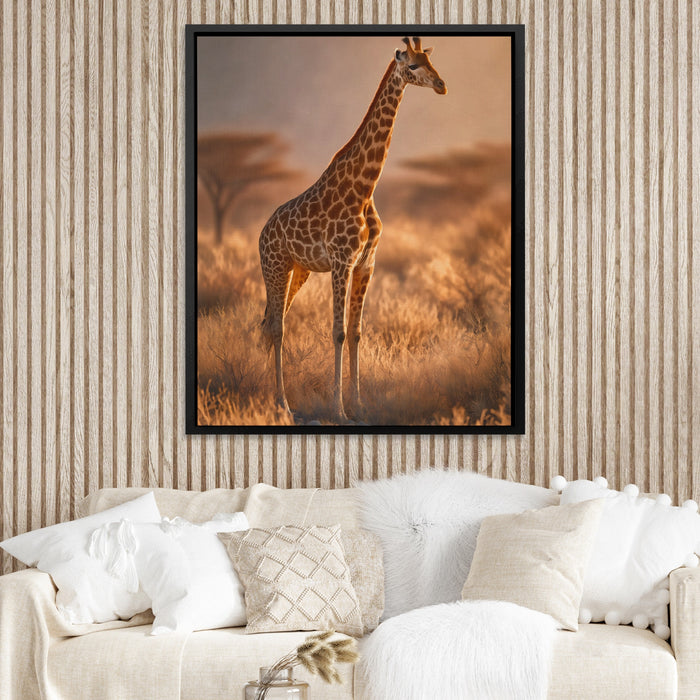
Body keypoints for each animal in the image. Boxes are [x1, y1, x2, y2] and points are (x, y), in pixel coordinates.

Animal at [259, 37, 447, 422]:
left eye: (429, 60)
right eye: (413, 66)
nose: (441, 85)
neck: (365, 187)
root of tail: (261, 234)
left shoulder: (366, 264)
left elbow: (357, 332)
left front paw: (359, 404)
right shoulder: (342, 262)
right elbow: (338, 332)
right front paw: (339, 409)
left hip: (298, 270)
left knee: (273, 321)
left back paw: (274, 397)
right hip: (275, 267)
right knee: (276, 327)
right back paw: (282, 403)